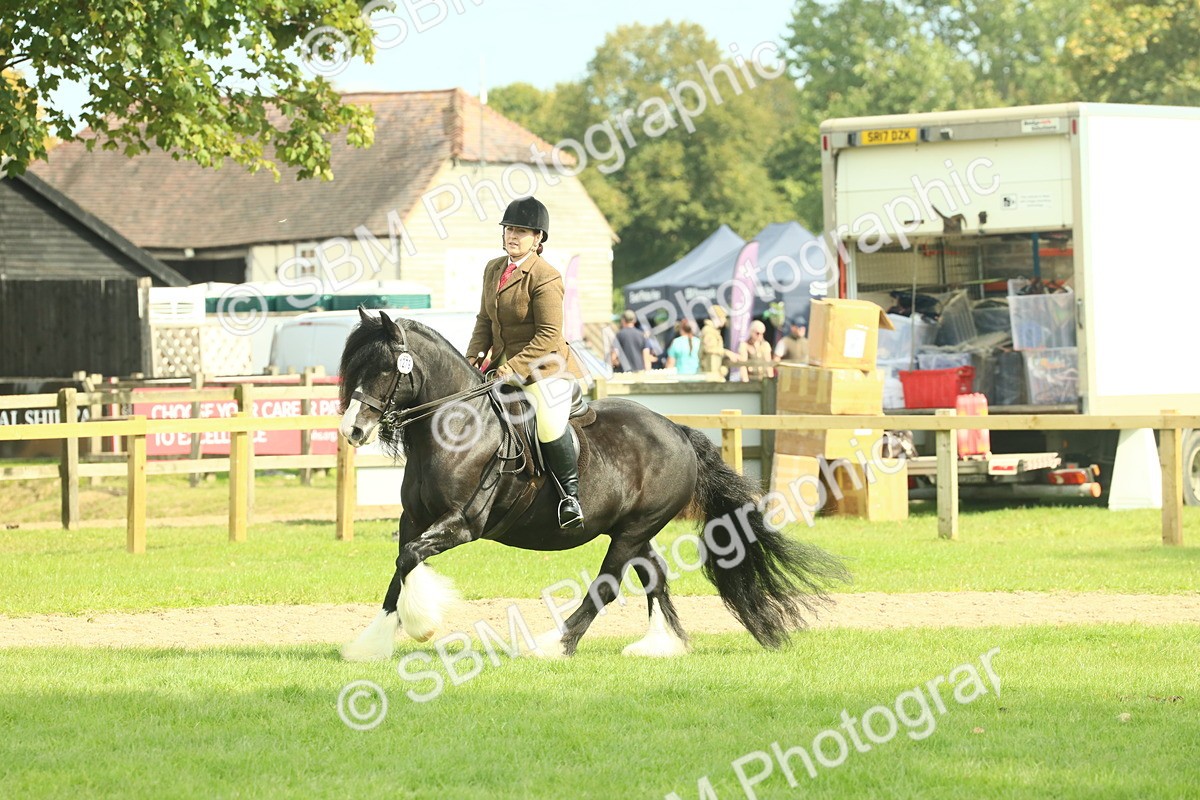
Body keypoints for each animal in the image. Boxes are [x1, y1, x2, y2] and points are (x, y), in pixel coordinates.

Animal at [337, 307, 848, 660]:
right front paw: (372, 643)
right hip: (633, 530)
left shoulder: (462, 524)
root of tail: (678, 431)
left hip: (632, 531)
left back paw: (554, 644)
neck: (456, 429)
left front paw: (421, 625)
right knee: (655, 574)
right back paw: (661, 645)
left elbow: (410, 559)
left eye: (385, 369)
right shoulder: (414, 518)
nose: (353, 431)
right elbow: (400, 567)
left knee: (607, 585)